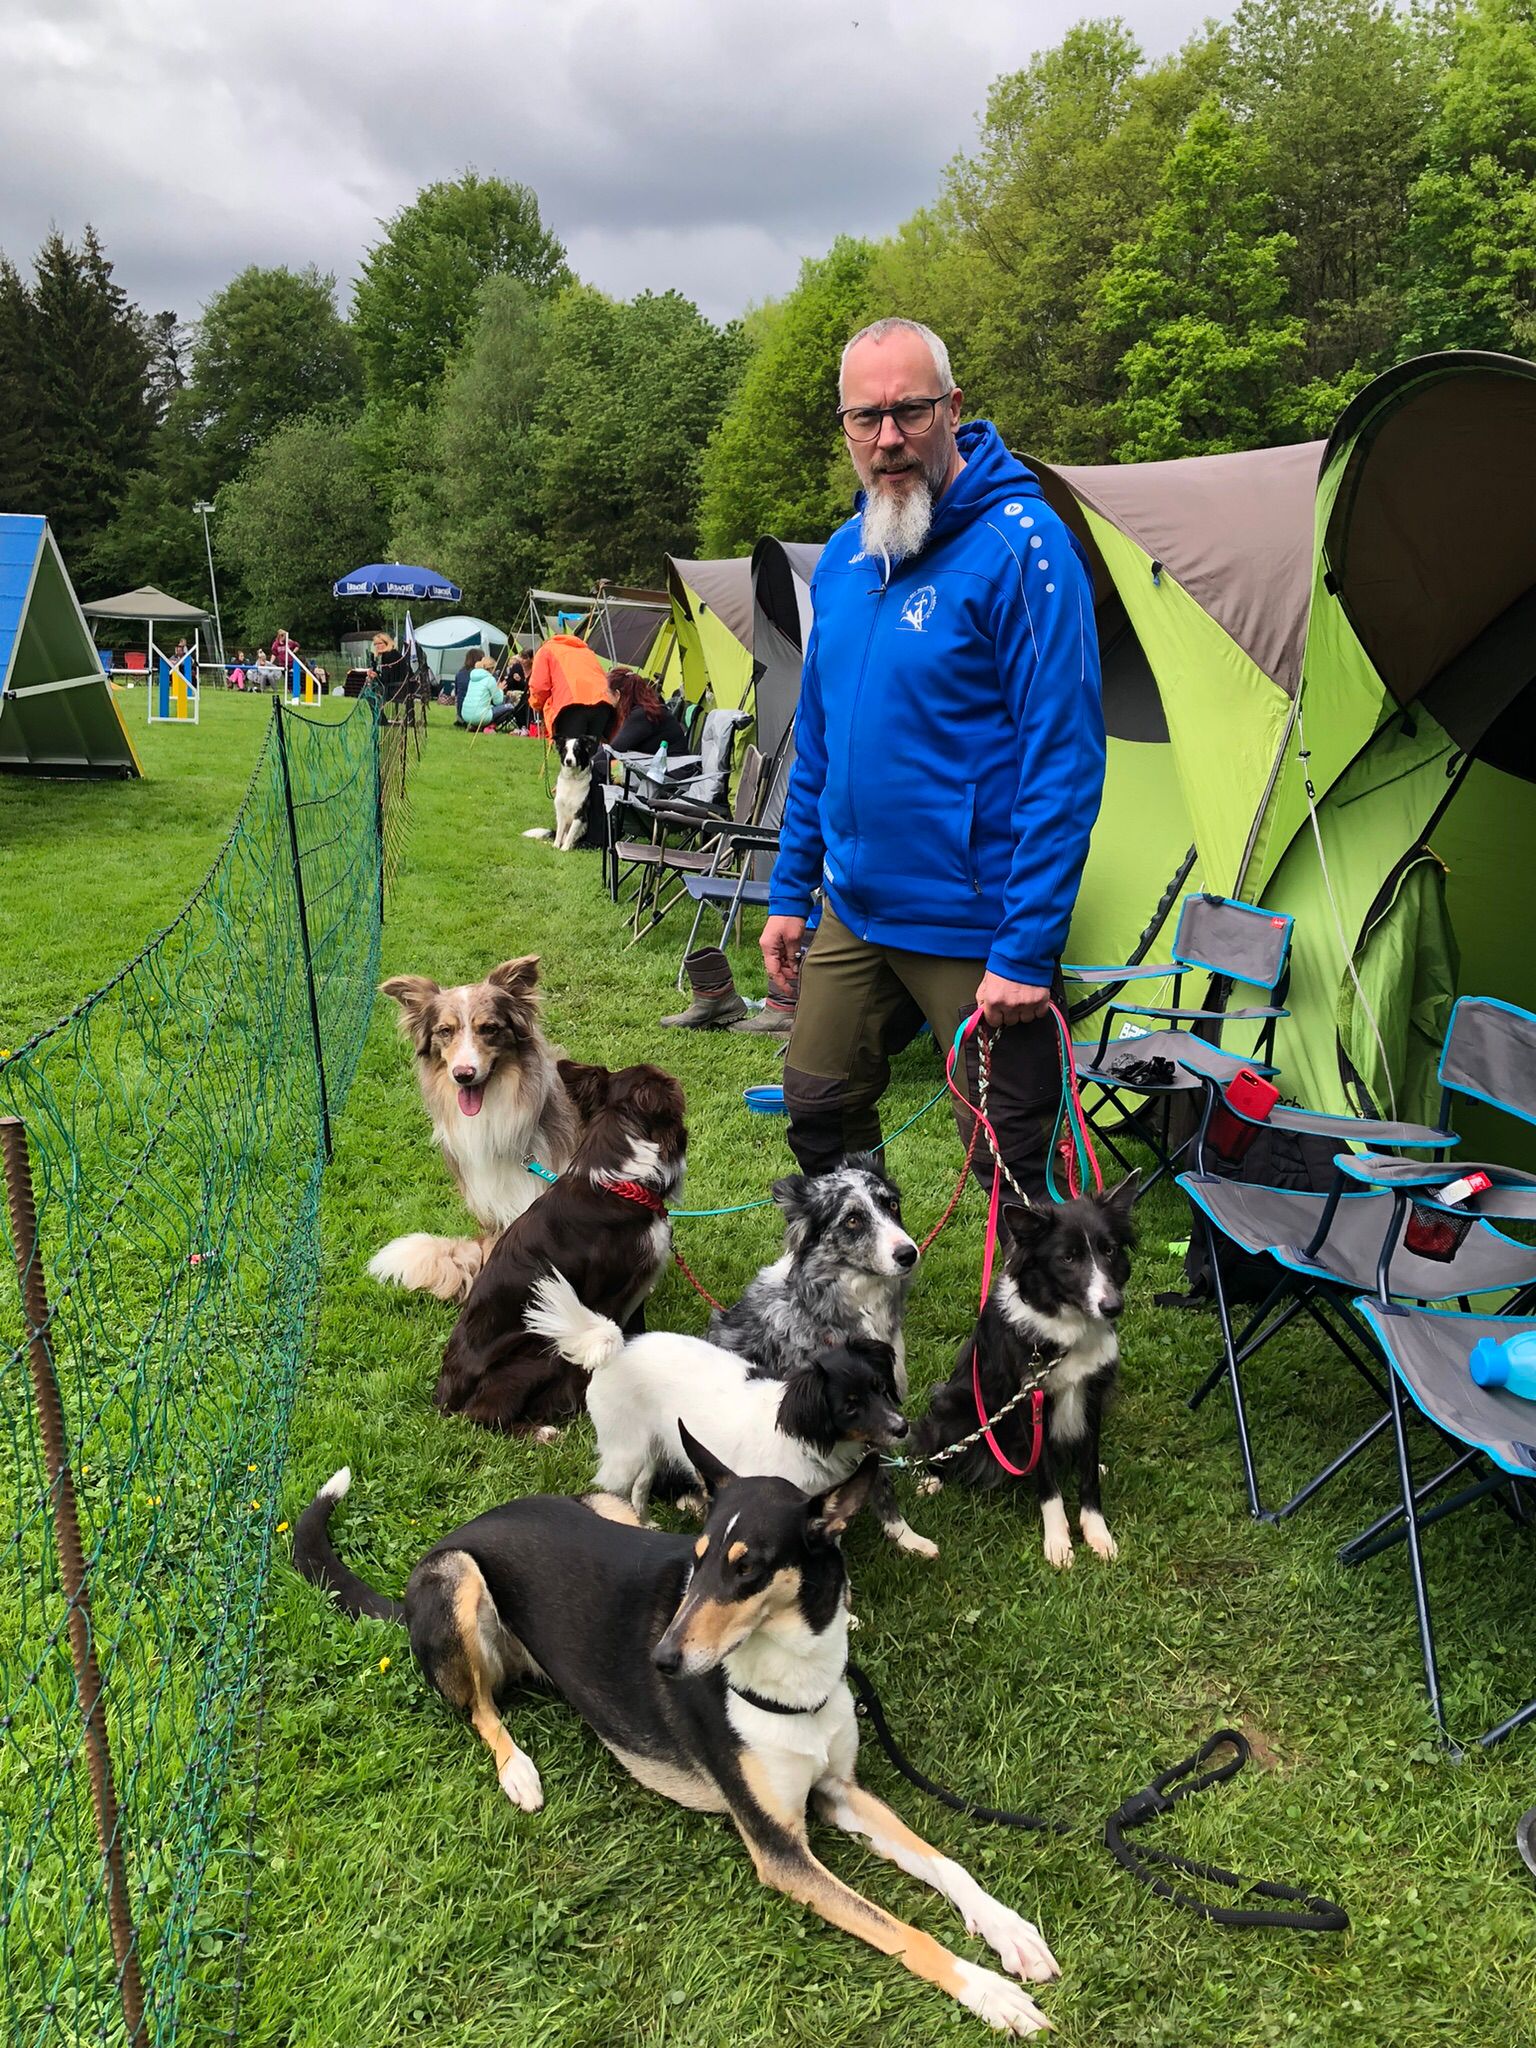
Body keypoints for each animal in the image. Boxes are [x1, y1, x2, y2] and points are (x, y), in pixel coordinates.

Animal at [913, 1171, 1146, 1564]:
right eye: (1067, 1257)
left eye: (1109, 1250)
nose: (1113, 1306)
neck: (1067, 1328)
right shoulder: (1028, 1403)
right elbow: (1047, 1478)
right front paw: (1058, 1542)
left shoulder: (1093, 1393)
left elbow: (1088, 1471)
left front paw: (1097, 1533)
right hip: (955, 1404)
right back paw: (931, 1479)